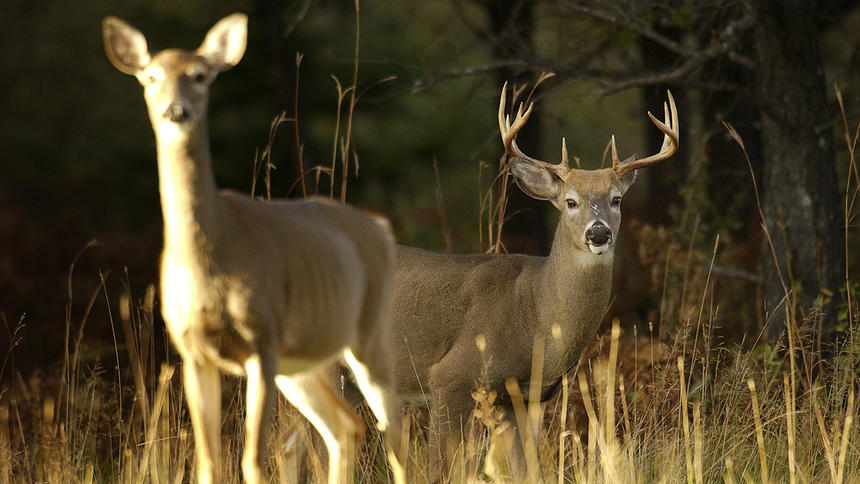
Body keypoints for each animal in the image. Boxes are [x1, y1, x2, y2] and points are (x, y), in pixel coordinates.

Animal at [102, 12, 404, 484]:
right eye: (150, 77)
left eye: (200, 75)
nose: (176, 111)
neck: (212, 260)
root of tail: (380, 228)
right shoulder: (193, 352)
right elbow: (208, 462)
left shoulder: (261, 342)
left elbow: (253, 459)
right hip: (302, 362)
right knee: (347, 427)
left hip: (366, 332)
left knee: (393, 431)